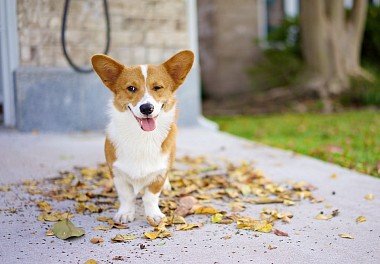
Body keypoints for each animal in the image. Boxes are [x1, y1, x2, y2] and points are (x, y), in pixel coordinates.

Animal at [91, 50, 194, 223]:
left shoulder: (159, 174)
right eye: (131, 88)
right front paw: (125, 213)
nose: (146, 108)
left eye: (157, 87)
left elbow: (150, 196)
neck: (142, 137)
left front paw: (153, 215)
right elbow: (127, 196)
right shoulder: (117, 173)